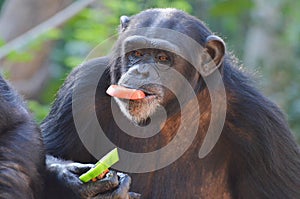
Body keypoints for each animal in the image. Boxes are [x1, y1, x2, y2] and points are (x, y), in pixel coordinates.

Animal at [41, 8, 300, 198]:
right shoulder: (80, 88)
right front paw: (72, 176)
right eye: (136, 53)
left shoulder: (262, 125)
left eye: (162, 58)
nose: (142, 71)